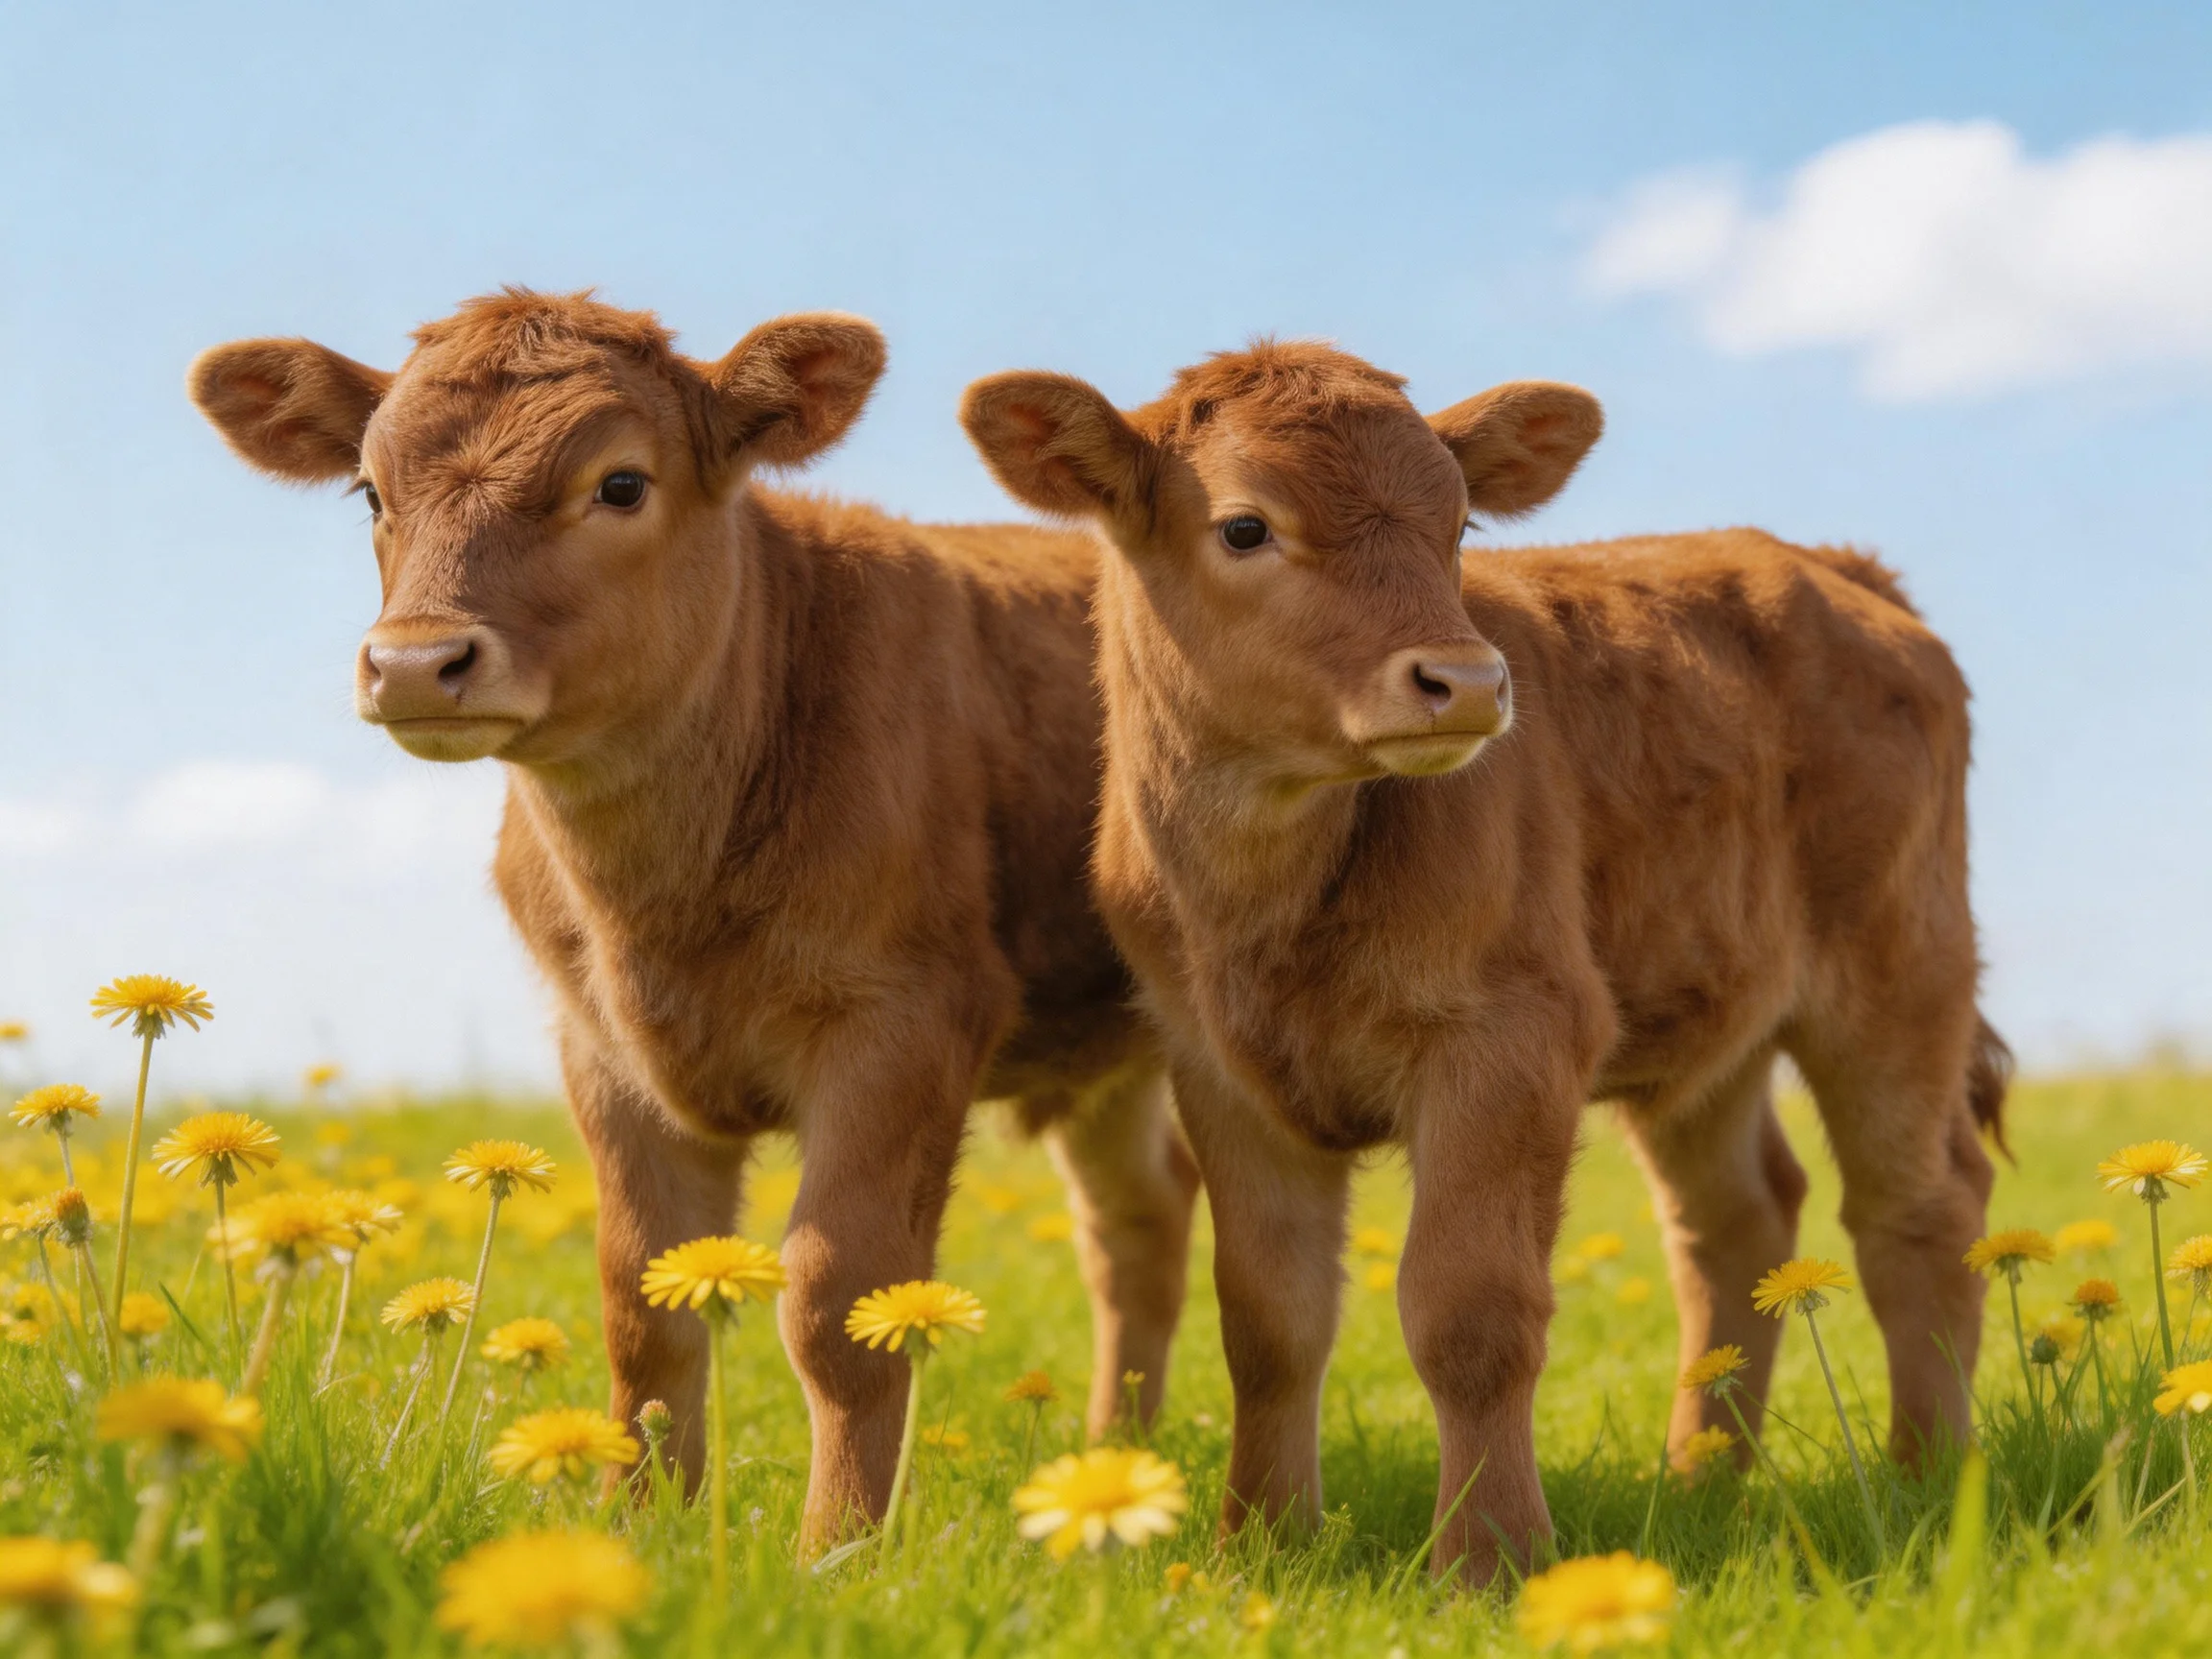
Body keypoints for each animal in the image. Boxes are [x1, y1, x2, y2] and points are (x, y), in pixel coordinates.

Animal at [188, 290, 1200, 1548]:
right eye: (371, 493)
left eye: (621, 484)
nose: (417, 662)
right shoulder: (601, 1050)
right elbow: (642, 1304)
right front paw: (631, 1527)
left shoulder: (905, 1024)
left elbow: (837, 1303)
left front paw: (839, 1549)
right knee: (1139, 1225)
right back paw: (1117, 1456)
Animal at [960, 341, 2006, 1582]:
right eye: (1245, 527)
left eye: (1458, 525)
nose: (1464, 681)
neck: (1275, 894)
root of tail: (1829, 567)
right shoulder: (1217, 1067)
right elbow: (1268, 1320)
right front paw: (1262, 1545)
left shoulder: (1511, 1039)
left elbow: (1468, 1312)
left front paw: (1491, 1557)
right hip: (1702, 1007)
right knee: (1740, 1218)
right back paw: (1702, 1477)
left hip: (1897, 976)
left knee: (1919, 1208)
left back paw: (1928, 1473)